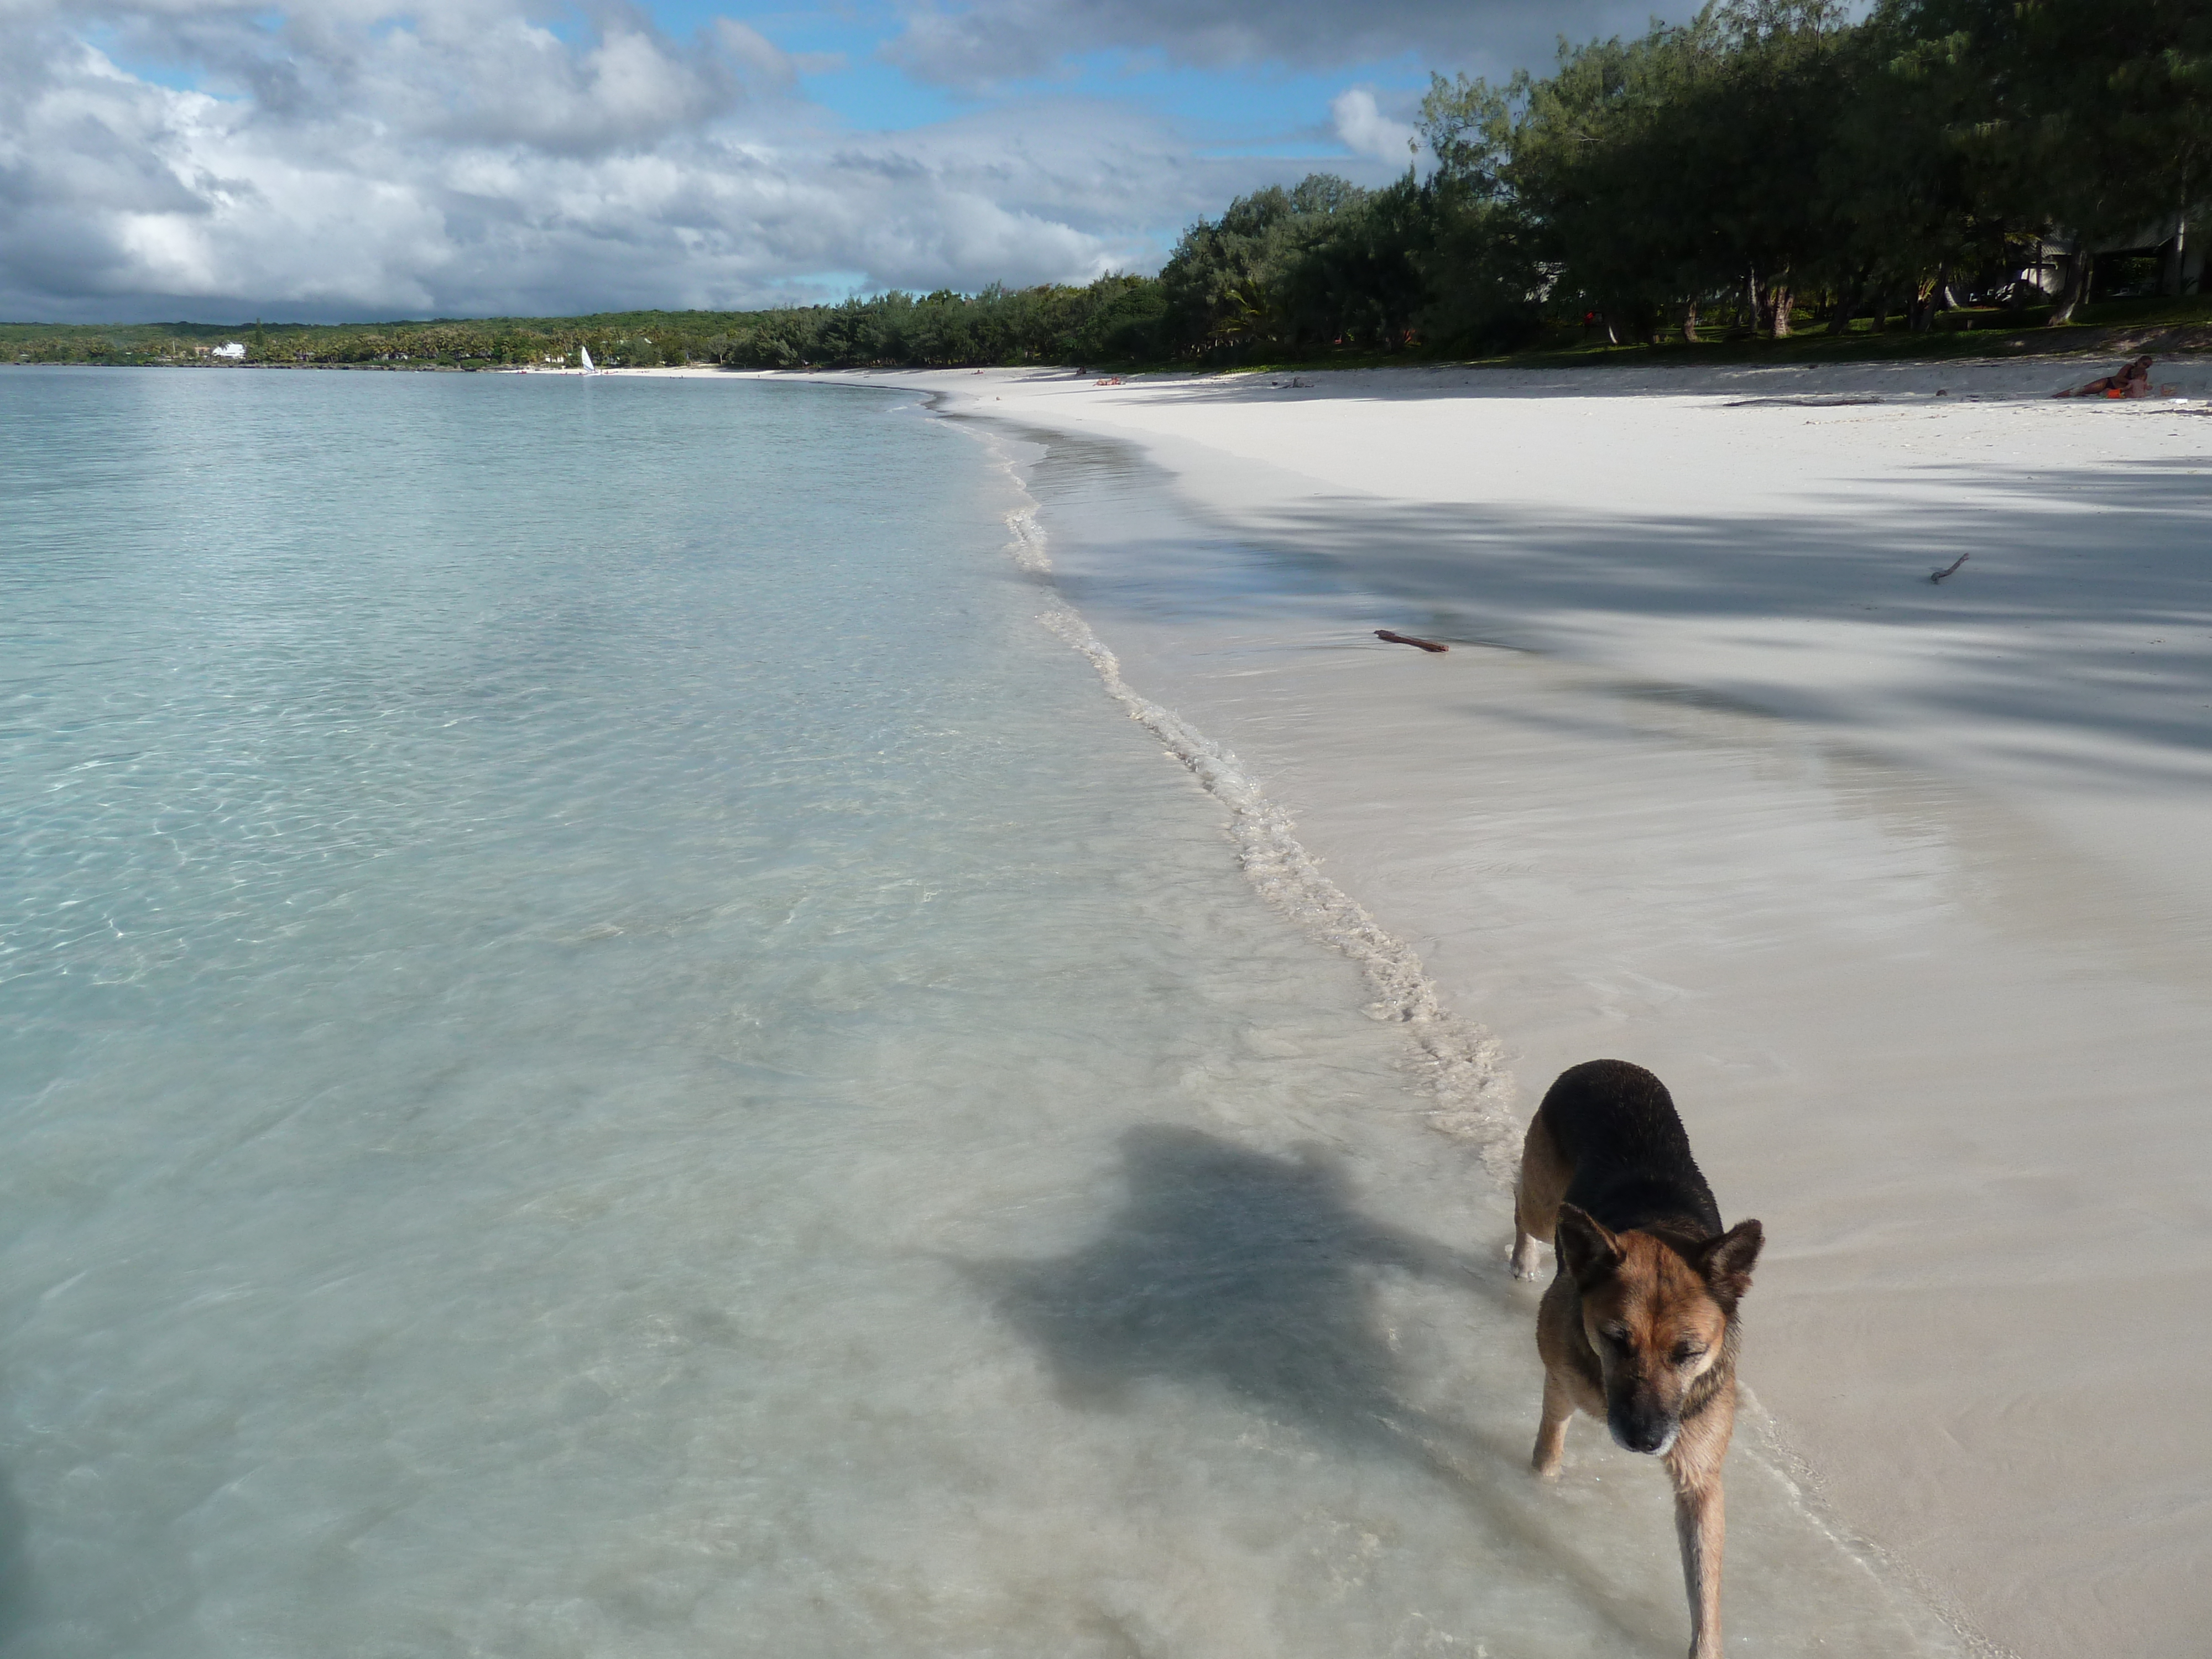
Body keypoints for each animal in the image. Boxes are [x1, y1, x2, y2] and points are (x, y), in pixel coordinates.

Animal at [1504, 1066, 1761, 1659]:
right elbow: (1548, 1450)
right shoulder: (1561, 1380)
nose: (1644, 1440)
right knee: (1522, 1205)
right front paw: (1539, 1492)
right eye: (1615, 1339)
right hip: (1545, 1203)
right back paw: (1522, 1258)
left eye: (1689, 1353)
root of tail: (1604, 1063)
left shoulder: (1699, 1476)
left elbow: (1704, 1589)